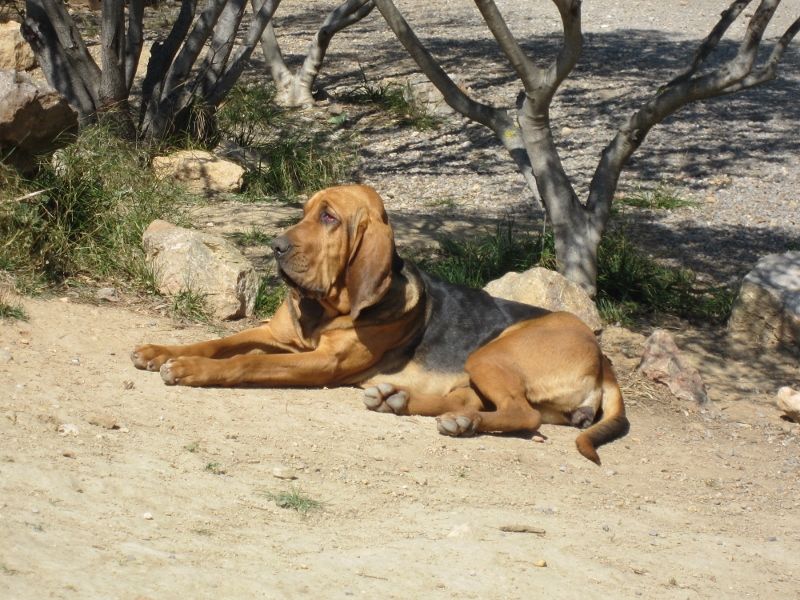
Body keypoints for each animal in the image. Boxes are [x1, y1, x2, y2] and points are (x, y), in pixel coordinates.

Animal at [133, 183, 632, 464]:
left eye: (329, 217)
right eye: (304, 211)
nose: (276, 247)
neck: (327, 307)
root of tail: (604, 361)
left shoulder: (321, 363)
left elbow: (246, 363)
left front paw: (190, 370)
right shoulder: (273, 334)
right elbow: (218, 341)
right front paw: (162, 351)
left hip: (491, 352)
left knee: (522, 414)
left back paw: (449, 419)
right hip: (478, 371)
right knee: (474, 402)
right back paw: (406, 403)